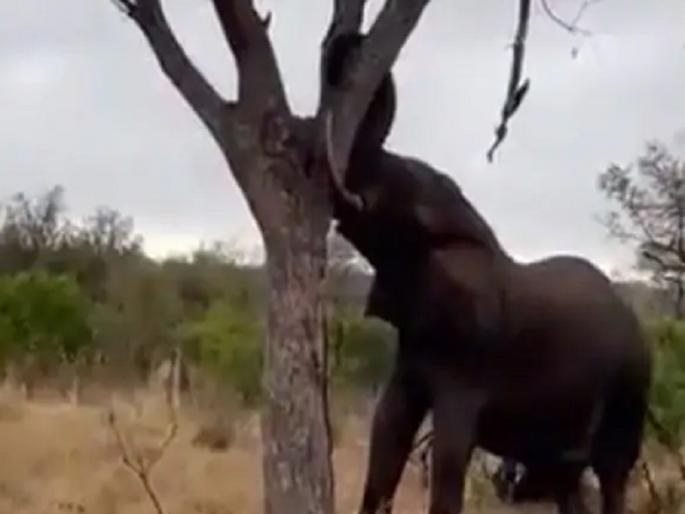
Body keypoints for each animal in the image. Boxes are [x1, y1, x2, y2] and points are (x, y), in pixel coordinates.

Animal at [323, 32, 653, 514]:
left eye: (400, 188)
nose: (350, 41)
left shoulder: (471, 357)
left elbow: (449, 449)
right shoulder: (413, 344)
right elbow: (387, 430)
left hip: (631, 385)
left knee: (612, 473)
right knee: (564, 479)